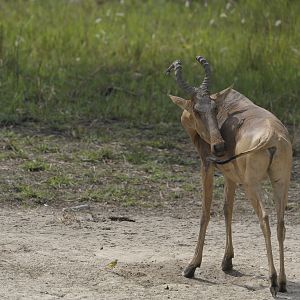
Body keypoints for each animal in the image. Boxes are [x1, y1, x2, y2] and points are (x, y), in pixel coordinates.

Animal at [165, 55, 292, 296]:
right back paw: (282, 282)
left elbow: (206, 212)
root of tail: (273, 136)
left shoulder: (206, 165)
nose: (219, 146)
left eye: (214, 108)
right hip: (281, 182)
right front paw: (227, 262)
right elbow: (227, 209)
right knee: (281, 223)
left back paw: (272, 281)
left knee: (264, 218)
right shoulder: (231, 176)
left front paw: (191, 267)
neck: (230, 105)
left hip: (252, 185)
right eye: (197, 110)